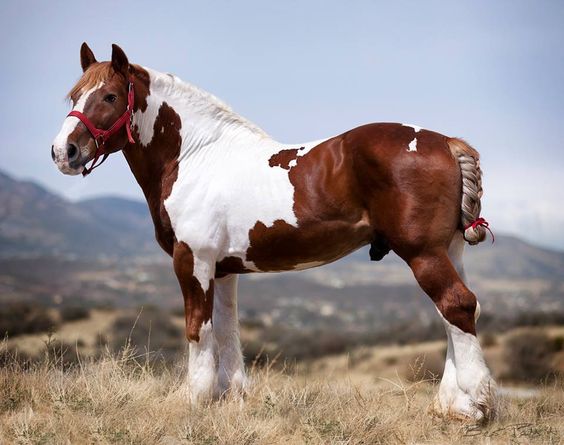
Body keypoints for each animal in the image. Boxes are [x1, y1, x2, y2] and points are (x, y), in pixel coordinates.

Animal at [50, 42, 496, 420]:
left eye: (109, 96)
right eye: (74, 96)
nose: (62, 152)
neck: (194, 156)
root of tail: (446, 142)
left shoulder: (192, 261)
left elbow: (198, 327)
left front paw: (195, 399)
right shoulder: (223, 269)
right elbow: (227, 329)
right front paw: (231, 398)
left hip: (422, 252)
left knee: (455, 305)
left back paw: (477, 405)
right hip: (448, 250)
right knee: (457, 312)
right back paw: (452, 406)